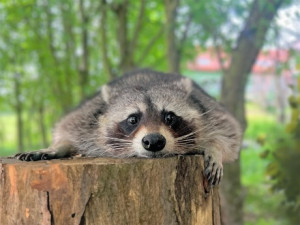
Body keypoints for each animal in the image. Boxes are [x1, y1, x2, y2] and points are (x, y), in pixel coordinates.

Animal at [15, 69, 241, 185]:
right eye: (133, 119)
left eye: (169, 116)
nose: (154, 141)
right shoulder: (87, 116)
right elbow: (67, 127)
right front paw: (57, 146)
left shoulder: (209, 109)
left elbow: (229, 131)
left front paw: (214, 147)